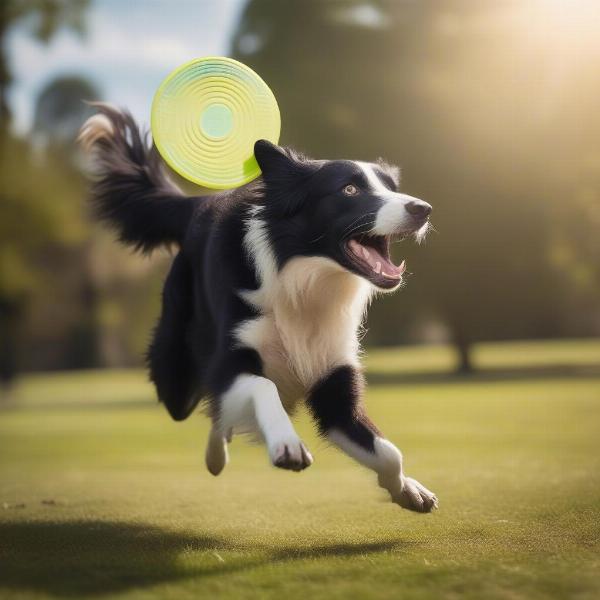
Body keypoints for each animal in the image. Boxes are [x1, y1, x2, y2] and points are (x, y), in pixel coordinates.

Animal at [78, 103, 436, 510]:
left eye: (392, 189)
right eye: (349, 189)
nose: (423, 209)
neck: (305, 284)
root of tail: (201, 203)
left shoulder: (333, 379)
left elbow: (389, 452)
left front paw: (406, 489)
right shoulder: (232, 361)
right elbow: (262, 387)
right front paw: (288, 445)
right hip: (176, 375)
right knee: (207, 402)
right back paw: (216, 456)